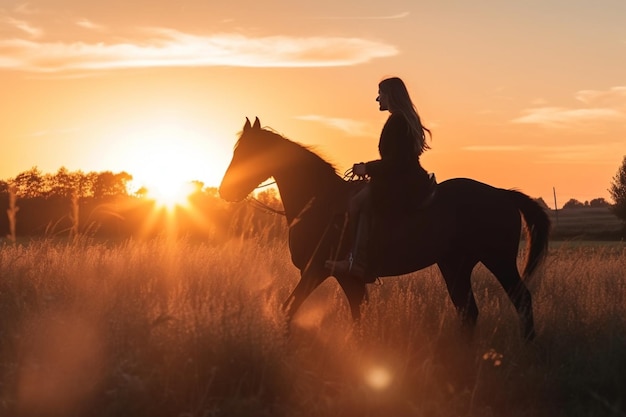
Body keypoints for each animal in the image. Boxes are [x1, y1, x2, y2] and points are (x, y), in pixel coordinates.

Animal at [217, 115, 548, 340]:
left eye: (247, 152)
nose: (225, 191)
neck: (320, 201)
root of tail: (503, 193)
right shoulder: (347, 279)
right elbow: (356, 316)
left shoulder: (318, 271)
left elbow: (291, 308)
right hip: (455, 265)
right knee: (469, 311)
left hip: (498, 260)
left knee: (521, 300)